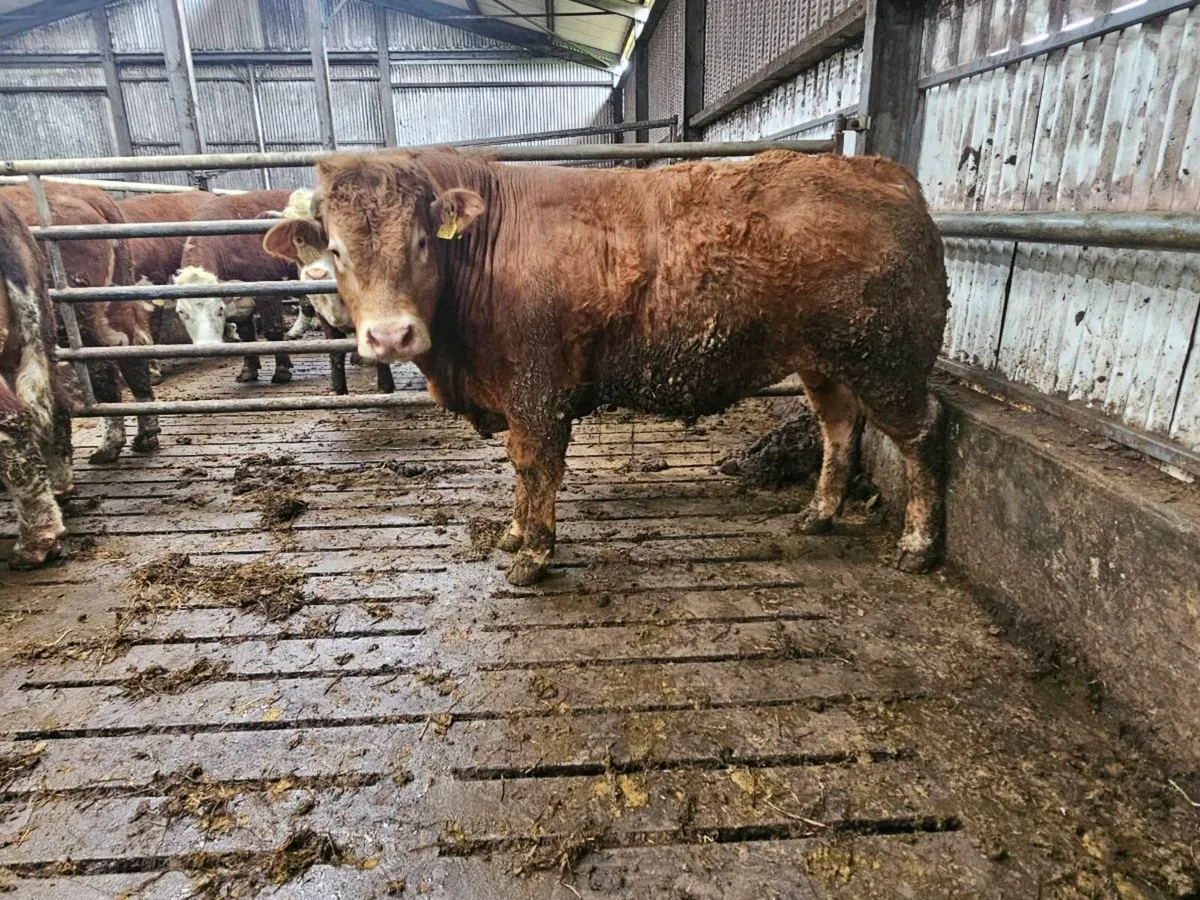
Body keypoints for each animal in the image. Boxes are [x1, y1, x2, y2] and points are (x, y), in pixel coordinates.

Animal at [0, 184, 160, 464]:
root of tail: (88, 192)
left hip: (77, 313)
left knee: (102, 367)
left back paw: (112, 444)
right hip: (113, 300)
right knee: (130, 350)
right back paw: (141, 436)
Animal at [174, 189, 296, 384]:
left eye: (220, 309)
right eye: (181, 312)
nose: (208, 346)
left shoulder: (268, 290)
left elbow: (273, 328)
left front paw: (282, 371)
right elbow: (246, 334)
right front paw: (248, 370)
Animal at [275, 189, 394, 396]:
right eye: (298, 239)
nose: (316, 274)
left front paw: (385, 387)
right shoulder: (323, 314)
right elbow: (335, 350)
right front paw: (338, 390)